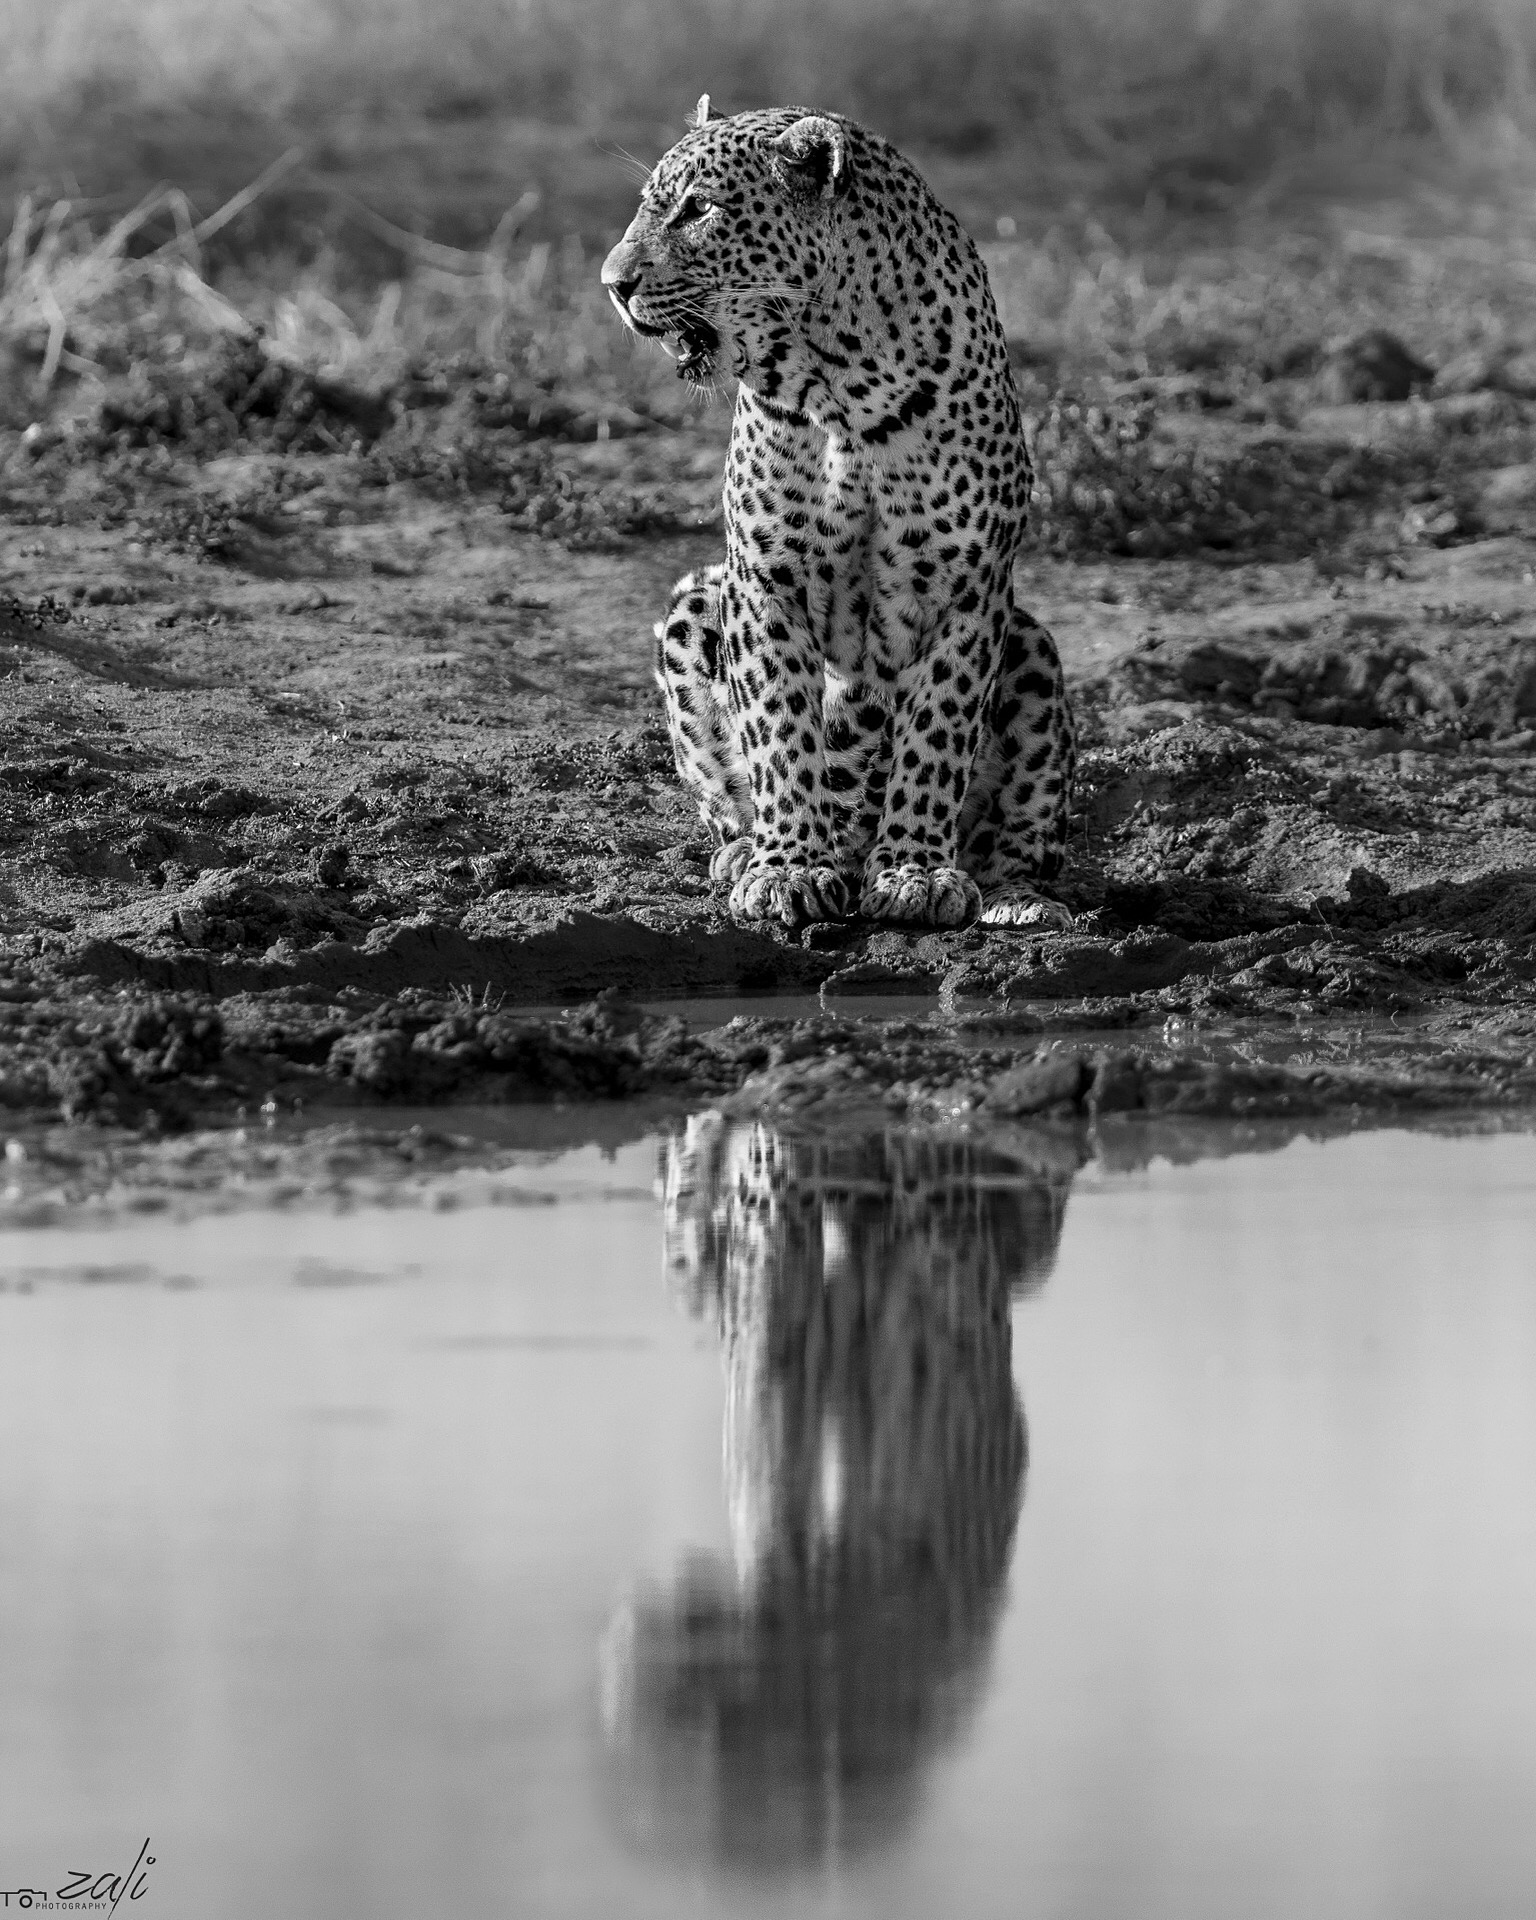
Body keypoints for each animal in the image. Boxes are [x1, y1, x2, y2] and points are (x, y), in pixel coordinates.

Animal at [601, 96, 1076, 931]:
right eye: (649, 206)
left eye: (699, 210)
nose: (612, 283)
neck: (838, 384)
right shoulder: (766, 582)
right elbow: (781, 732)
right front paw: (788, 870)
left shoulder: (970, 592)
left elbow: (936, 734)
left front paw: (916, 872)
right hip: (698, 597)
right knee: (729, 800)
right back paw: (745, 855)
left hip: (1033, 647)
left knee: (1019, 837)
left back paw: (1013, 899)